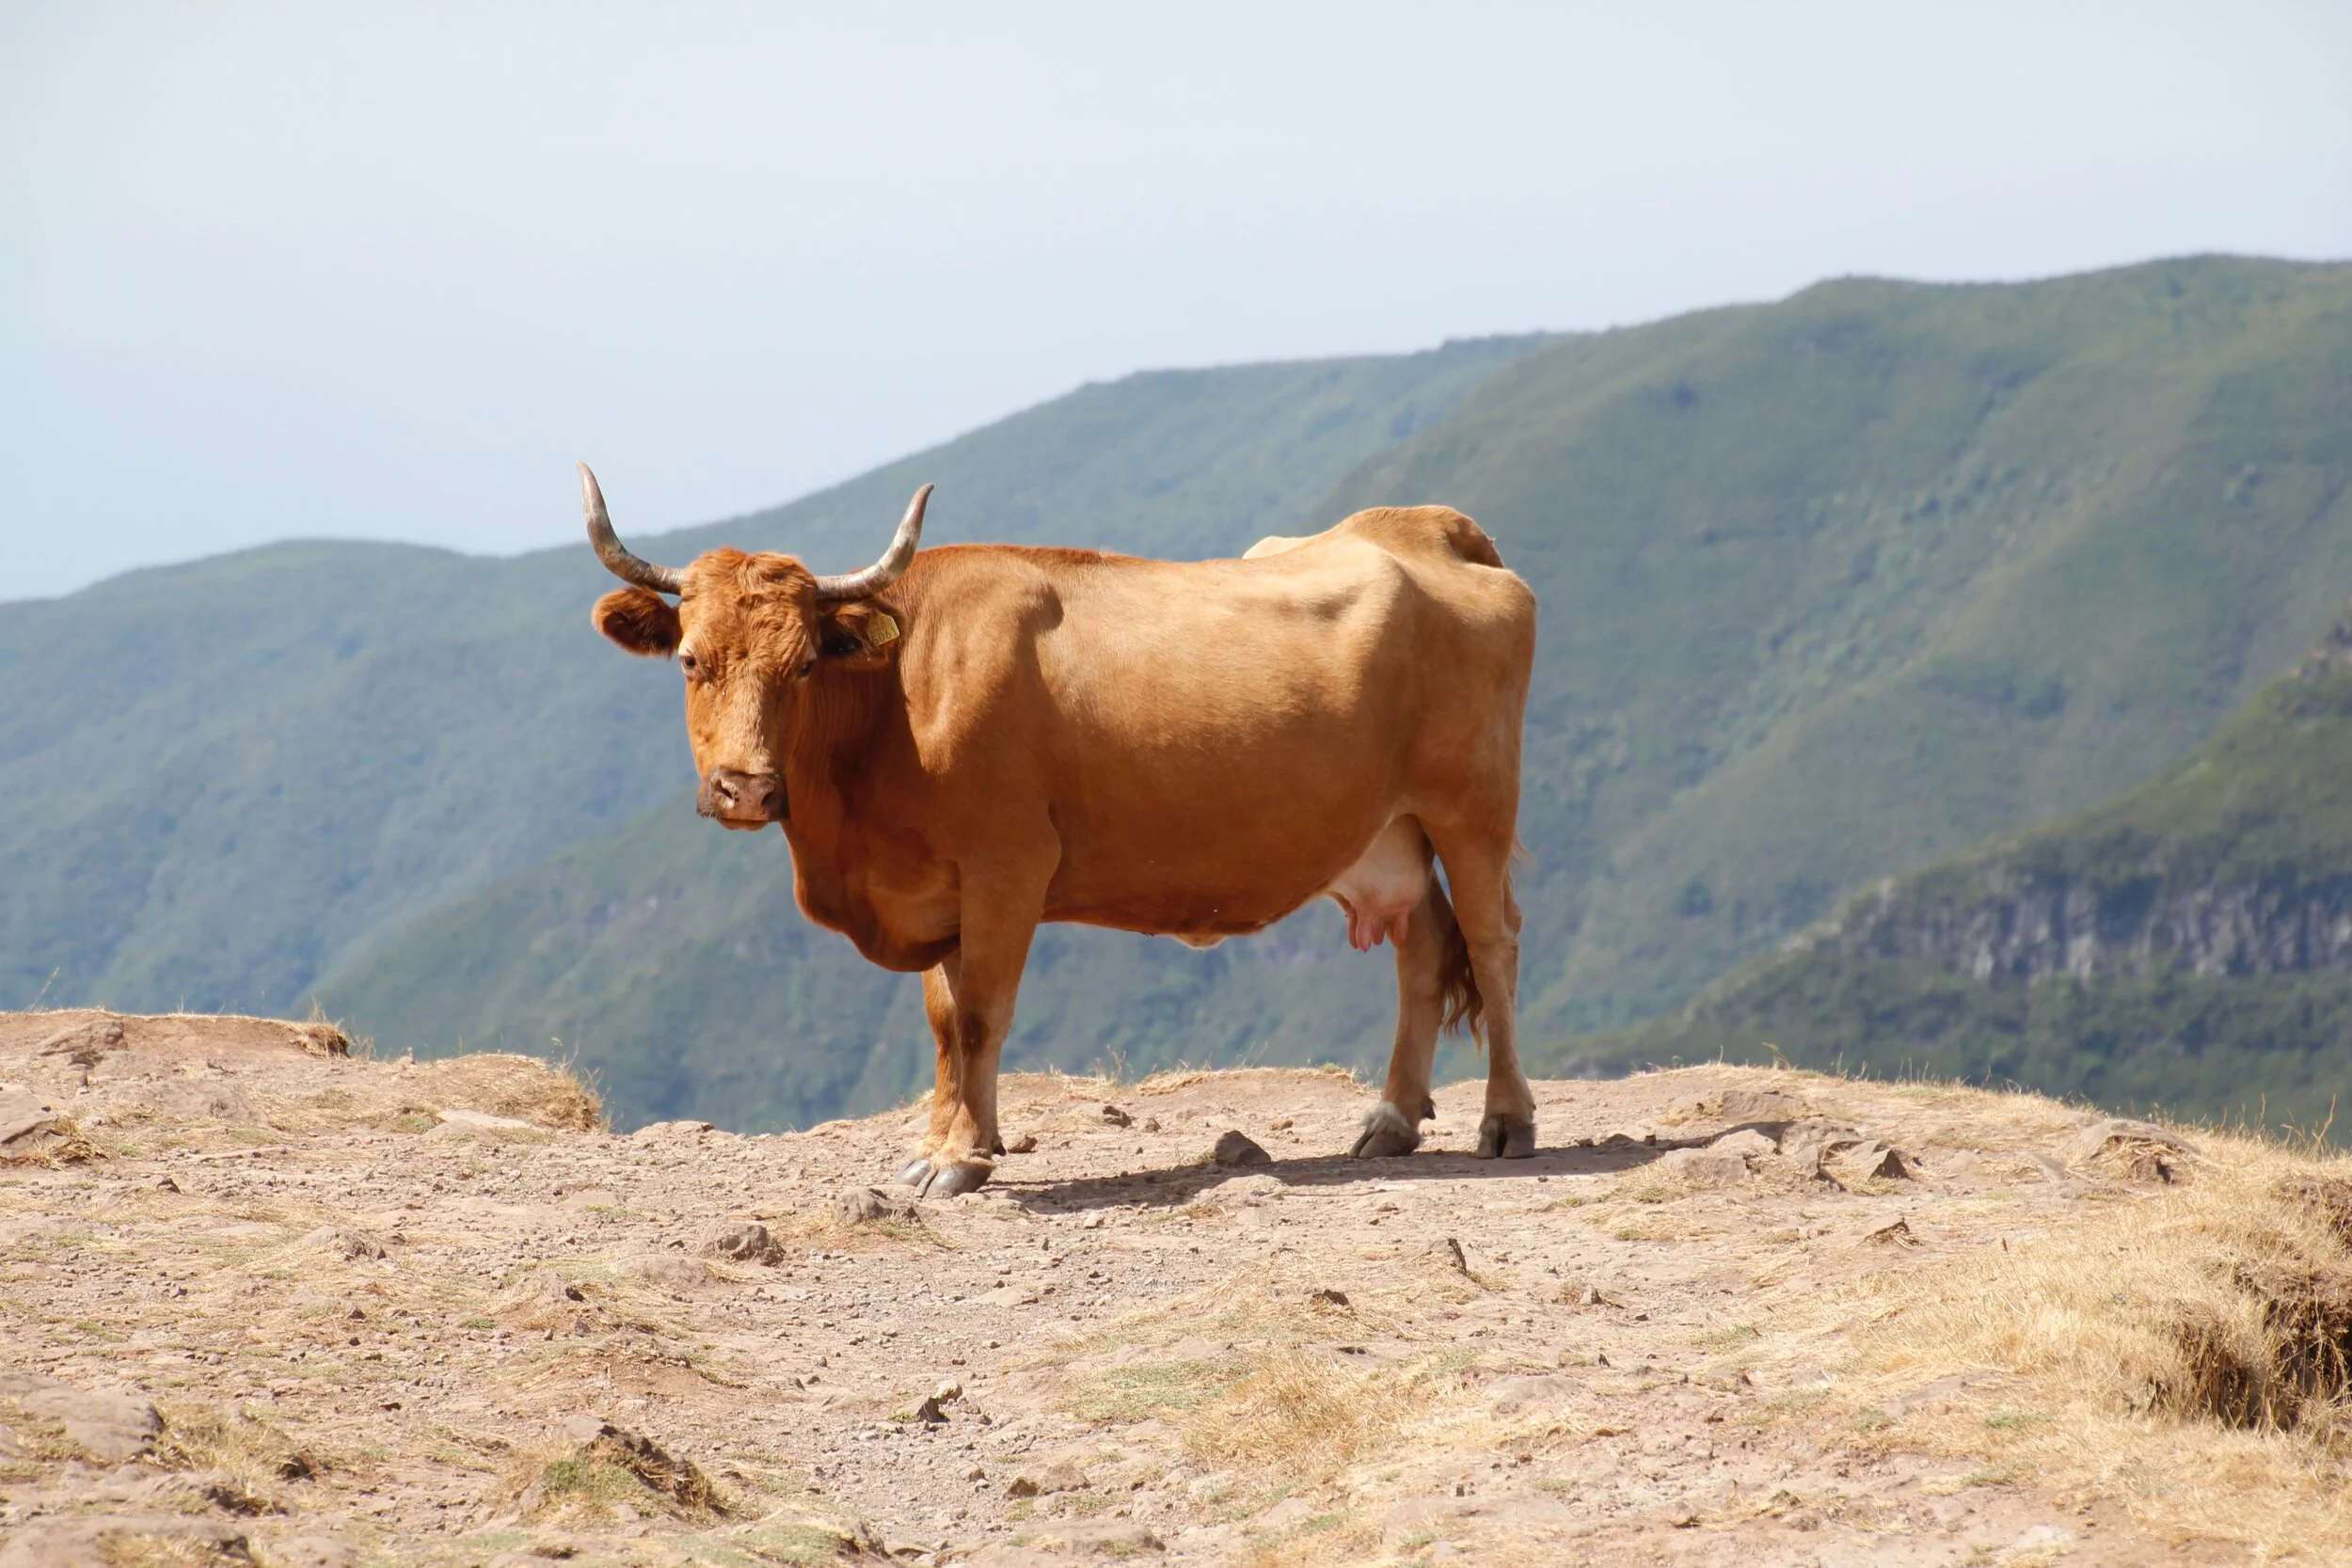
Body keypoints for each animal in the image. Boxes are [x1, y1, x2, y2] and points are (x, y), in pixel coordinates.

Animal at [580, 465, 1536, 1195]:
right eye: (691, 658)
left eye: (806, 664)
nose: (744, 786)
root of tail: (1421, 524)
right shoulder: (936, 891)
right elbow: (943, 1020)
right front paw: (941, 1143)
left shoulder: (1008, 865)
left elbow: (980, 1015)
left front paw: (962, 1159)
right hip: (1389, 830)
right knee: (1424, 945)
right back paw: (1393, 1118)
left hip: (1475, 805)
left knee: (1492, 942)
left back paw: (1507, 1120)